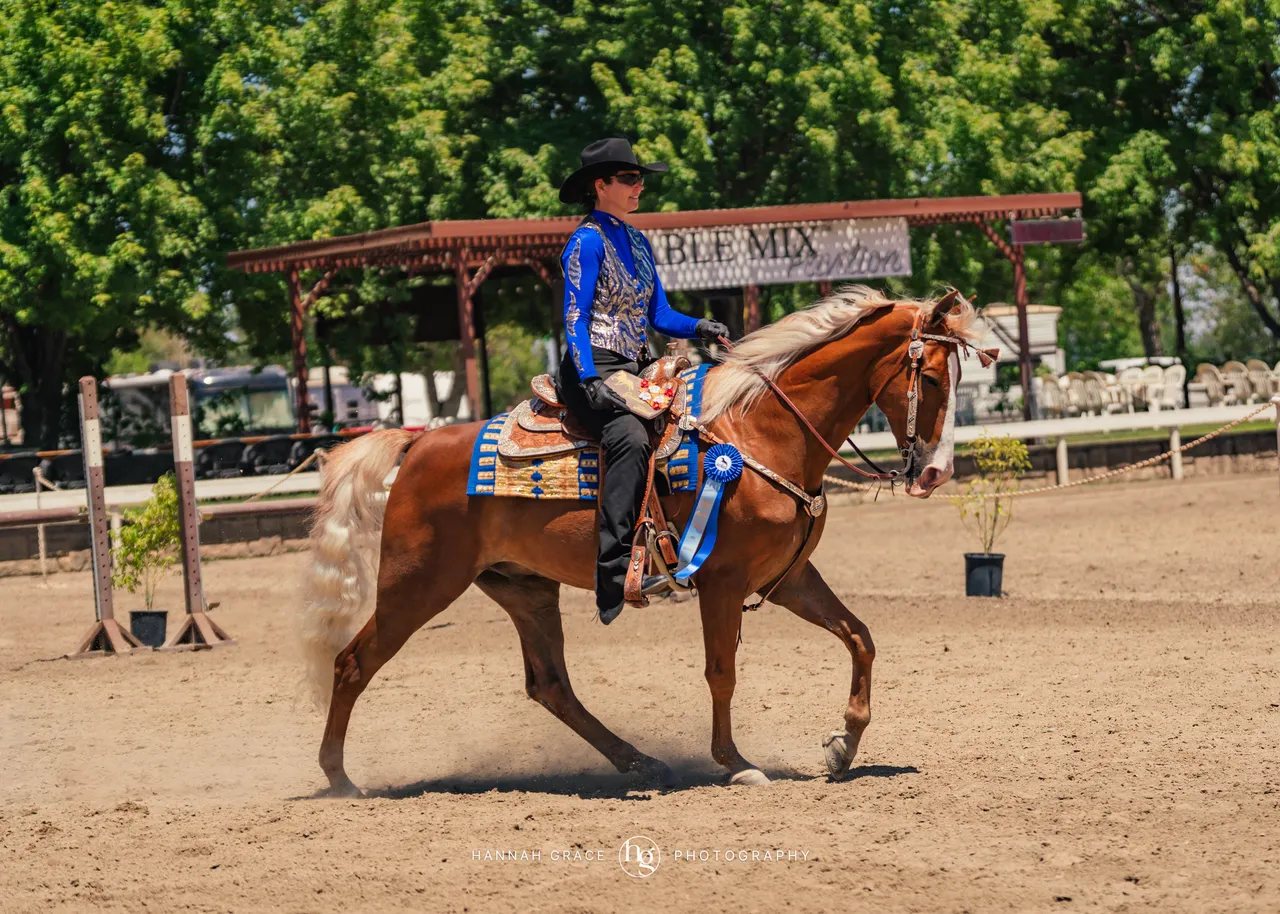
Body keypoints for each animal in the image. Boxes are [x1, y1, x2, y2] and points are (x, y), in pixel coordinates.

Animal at [300, 286, 978, 795]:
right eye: (933, 378)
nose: (936, 472)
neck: (759, 432)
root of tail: (417, 444)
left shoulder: (787, 578)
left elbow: (860, 637)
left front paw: (843, 745)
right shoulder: (723, 581)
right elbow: (722, 671)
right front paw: (736, 763)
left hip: (524, 589)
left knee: (551, 686)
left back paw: (638, 761)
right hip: (416, 585)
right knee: (352, 663)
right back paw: (339, 779)